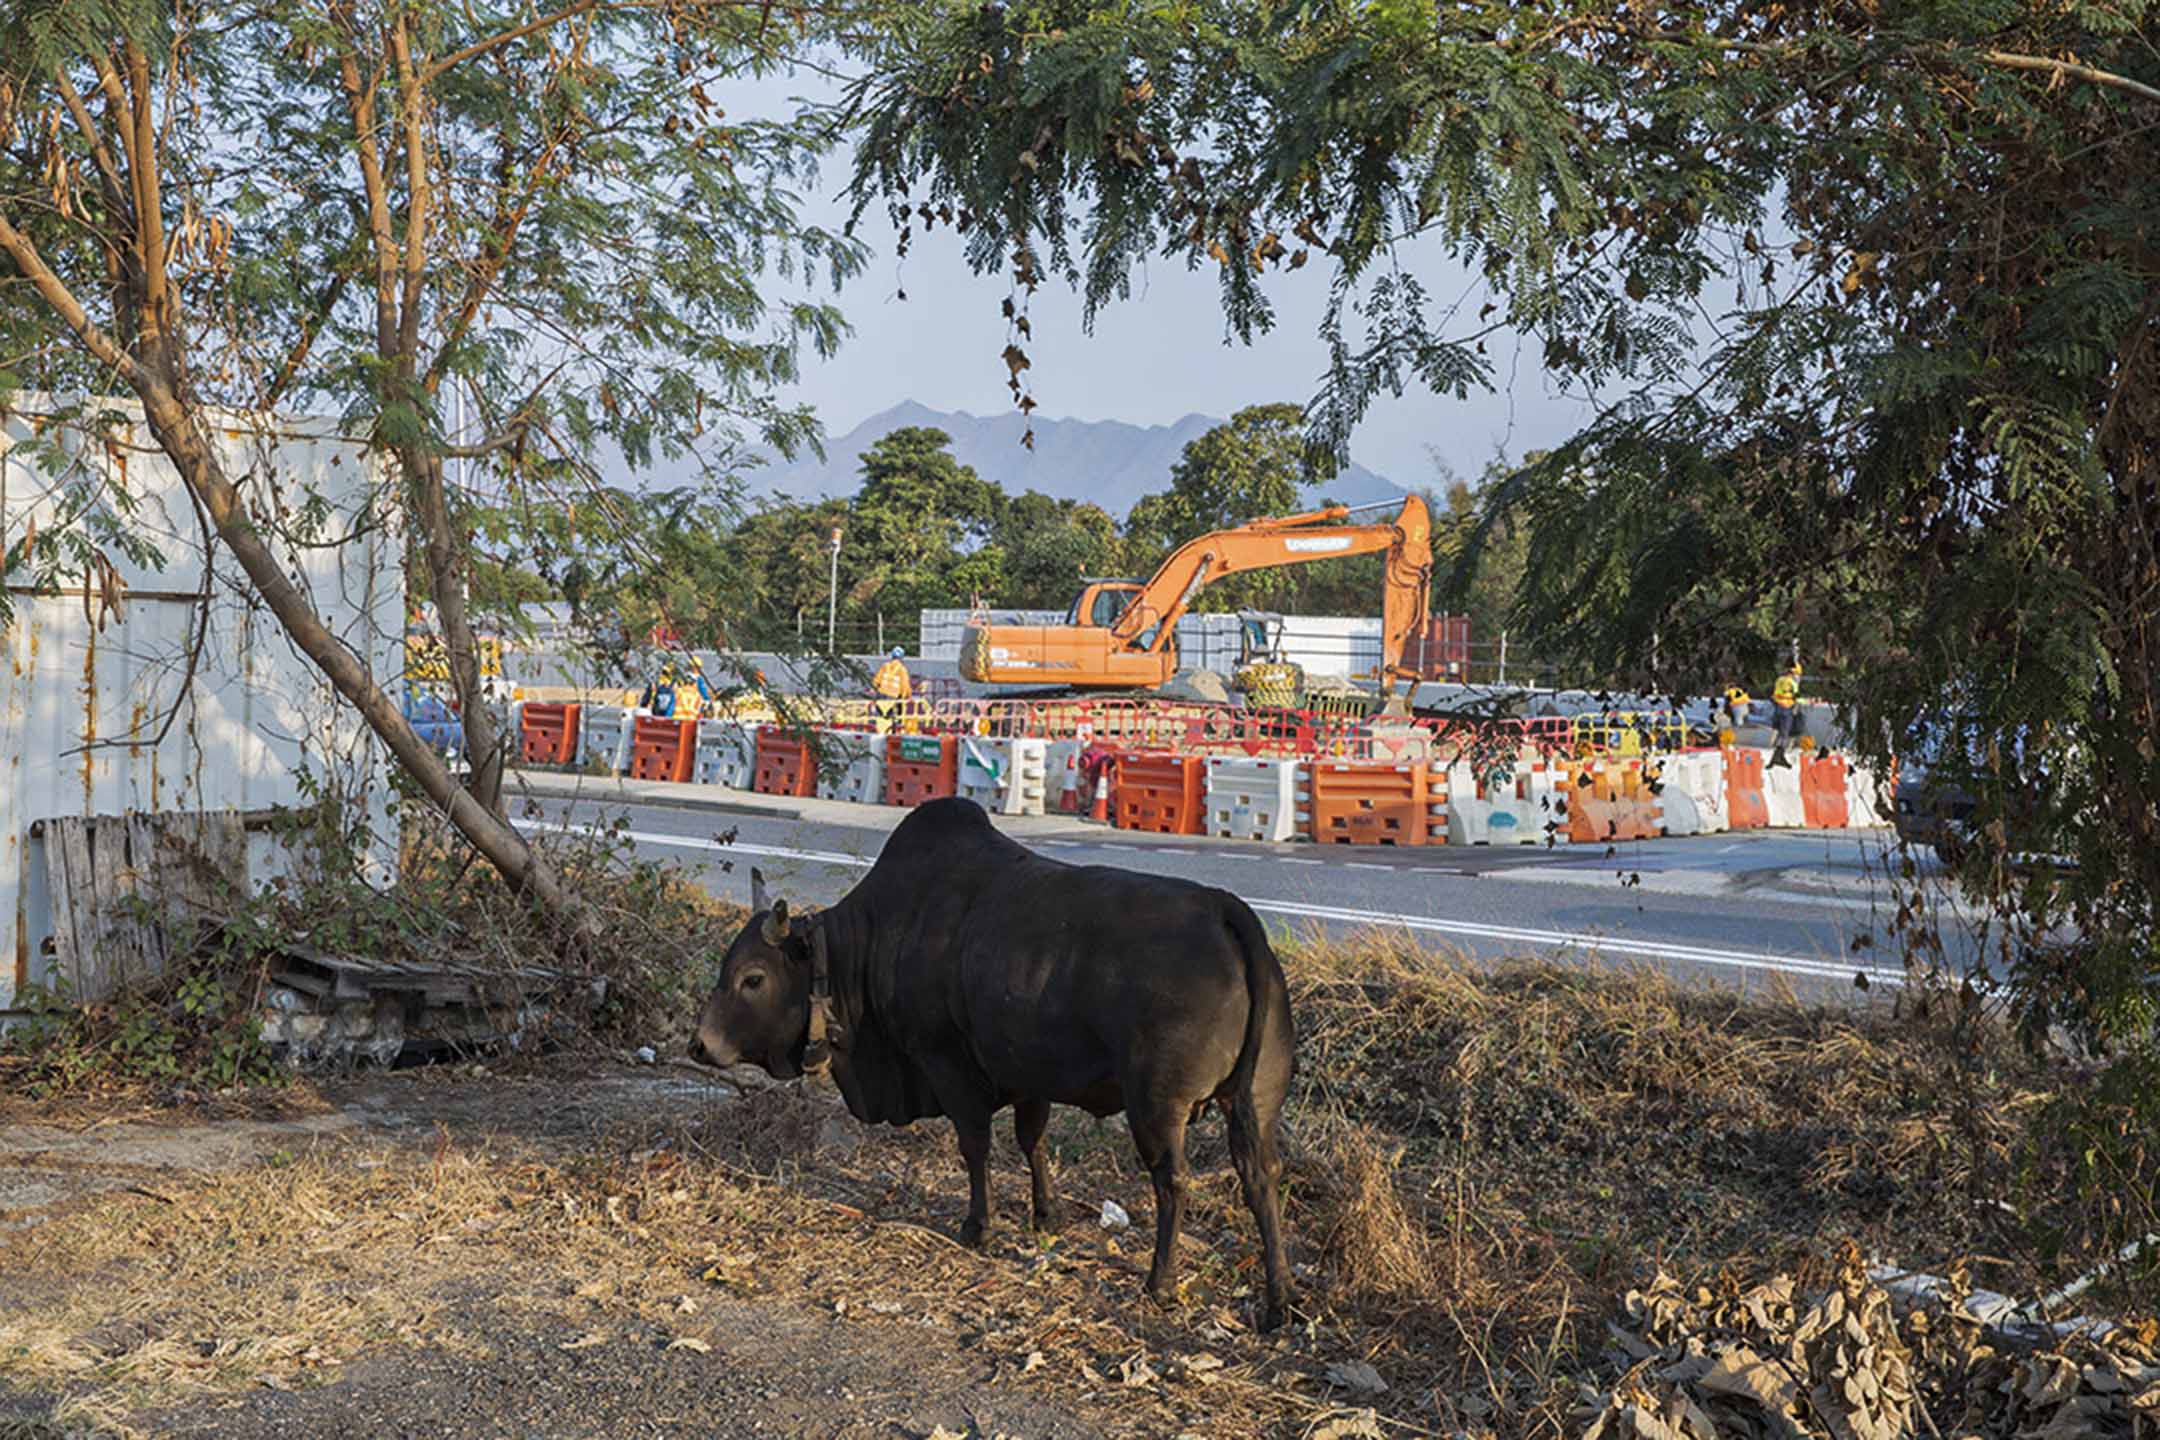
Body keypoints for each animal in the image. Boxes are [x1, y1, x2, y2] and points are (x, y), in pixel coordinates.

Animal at [699, 798, 1287, 1329]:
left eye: (753, 977)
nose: (699, 1045)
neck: (874, 940)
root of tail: (1222, 909)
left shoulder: (947, 1065)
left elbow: (976, 1146)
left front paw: (979, 1227)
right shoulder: (1031, 1074)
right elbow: (1033, 1140)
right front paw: (1046, 1215)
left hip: (1157, 1106)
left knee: (1173, 1181)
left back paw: (1160, 1282)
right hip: (1255, 1101)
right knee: (1261, 1177)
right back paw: (1279, 1300)